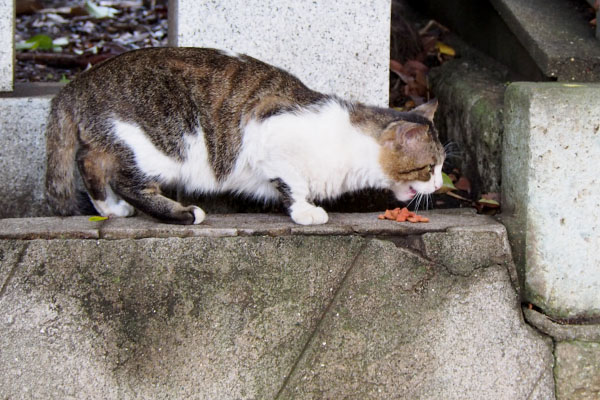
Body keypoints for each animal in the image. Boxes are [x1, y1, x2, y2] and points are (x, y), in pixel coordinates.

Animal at [45, 47, 446, 225]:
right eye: (430, 167)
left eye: (443, 167)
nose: (442, 185)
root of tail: (80, 81)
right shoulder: (266, 132)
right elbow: (294, 184)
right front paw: (305, 211)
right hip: (163, 142)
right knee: (123, 179)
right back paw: (182, 213)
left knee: (89, 161)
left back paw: (109, 208)